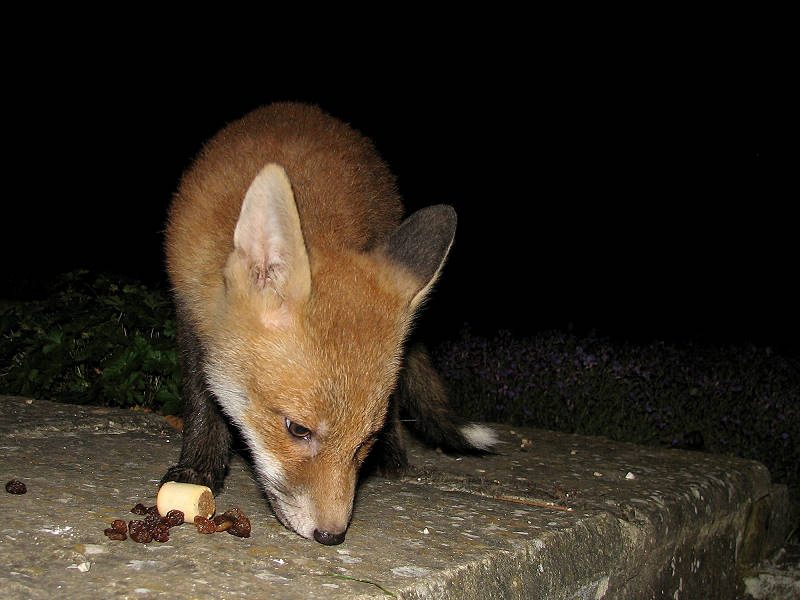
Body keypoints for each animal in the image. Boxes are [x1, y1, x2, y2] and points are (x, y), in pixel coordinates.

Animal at [162, 102, 496, 544]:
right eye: (297, 429)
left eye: (365, 440)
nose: (332, 536)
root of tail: (302, 108)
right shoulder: (189, 308)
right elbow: (203, 398)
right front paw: (198, 466)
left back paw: (396, 459)